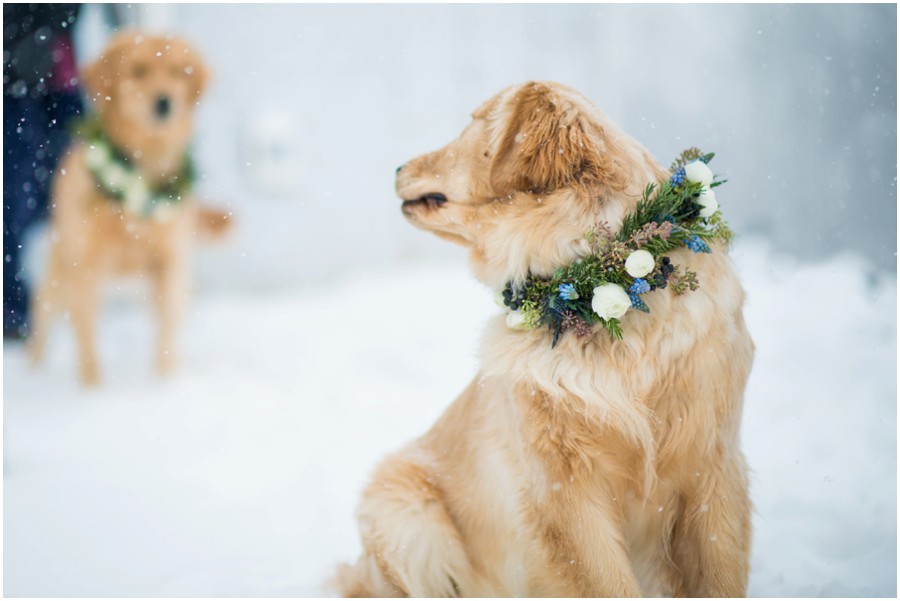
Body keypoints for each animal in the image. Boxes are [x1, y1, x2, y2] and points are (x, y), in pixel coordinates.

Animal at [28, 31, 232, 384]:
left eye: (178, 72)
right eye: (138, 70)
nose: (164, 102)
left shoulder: (170, 264)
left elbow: (165, 336)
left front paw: (165, 386)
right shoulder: (86, 269)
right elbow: (88, 346)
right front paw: (92, 390)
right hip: (58, 281)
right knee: (41, 331)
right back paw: (31, 375)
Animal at [336, 82, 752, 596]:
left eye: (474, 122)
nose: (396, 167)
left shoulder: (712, 468)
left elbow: (720, 576)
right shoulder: (561, 493)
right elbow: (608, 584)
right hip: (404, 514)